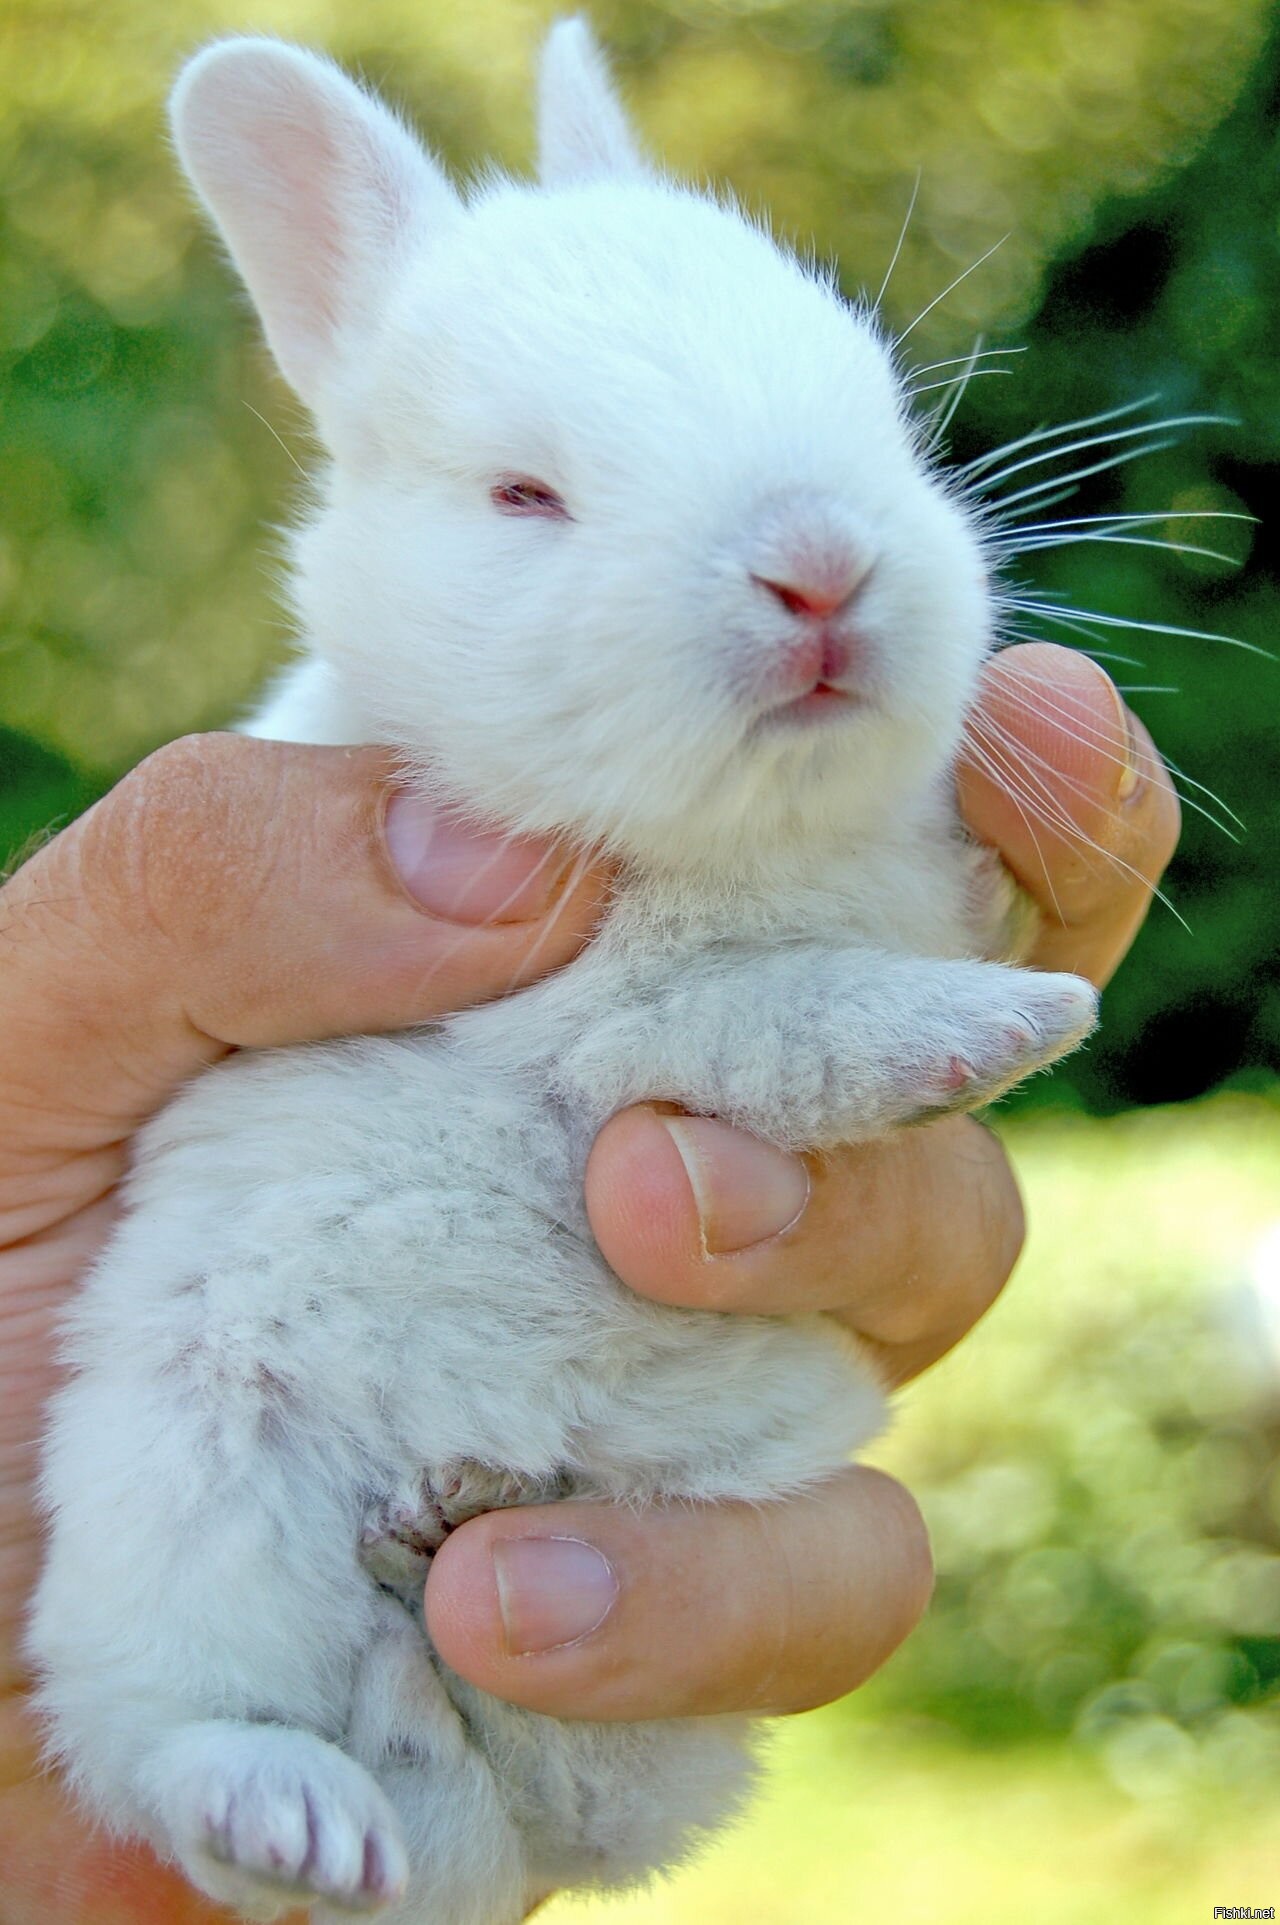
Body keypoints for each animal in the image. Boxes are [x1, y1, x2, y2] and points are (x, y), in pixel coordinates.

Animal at [22, 18, 1100, 1925]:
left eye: (881, 415)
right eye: (526, 494)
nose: (822, 566)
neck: (722, 843)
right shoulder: (605, 1017)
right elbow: (785, 1023)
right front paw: (1009, 1026)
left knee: (555, 1766)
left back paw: (454, 1550)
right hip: (184, 1500)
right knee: (176, 1746)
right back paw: (297, 1801)